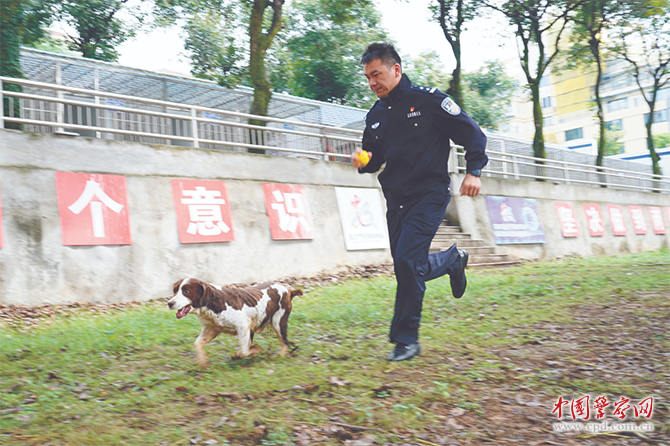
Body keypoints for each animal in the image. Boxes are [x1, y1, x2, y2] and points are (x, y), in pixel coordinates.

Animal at [168, 278, 304, 370]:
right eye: (175, 290)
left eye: (186, 291)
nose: (169, 303)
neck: (213, 303)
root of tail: (288, 290)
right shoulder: (211, 329)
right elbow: (197, 344)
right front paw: (203, 362)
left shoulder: (243, 326)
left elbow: (244, 351)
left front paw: (256, 350)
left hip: (278, 321)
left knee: (285, 343)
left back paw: (279, 357)